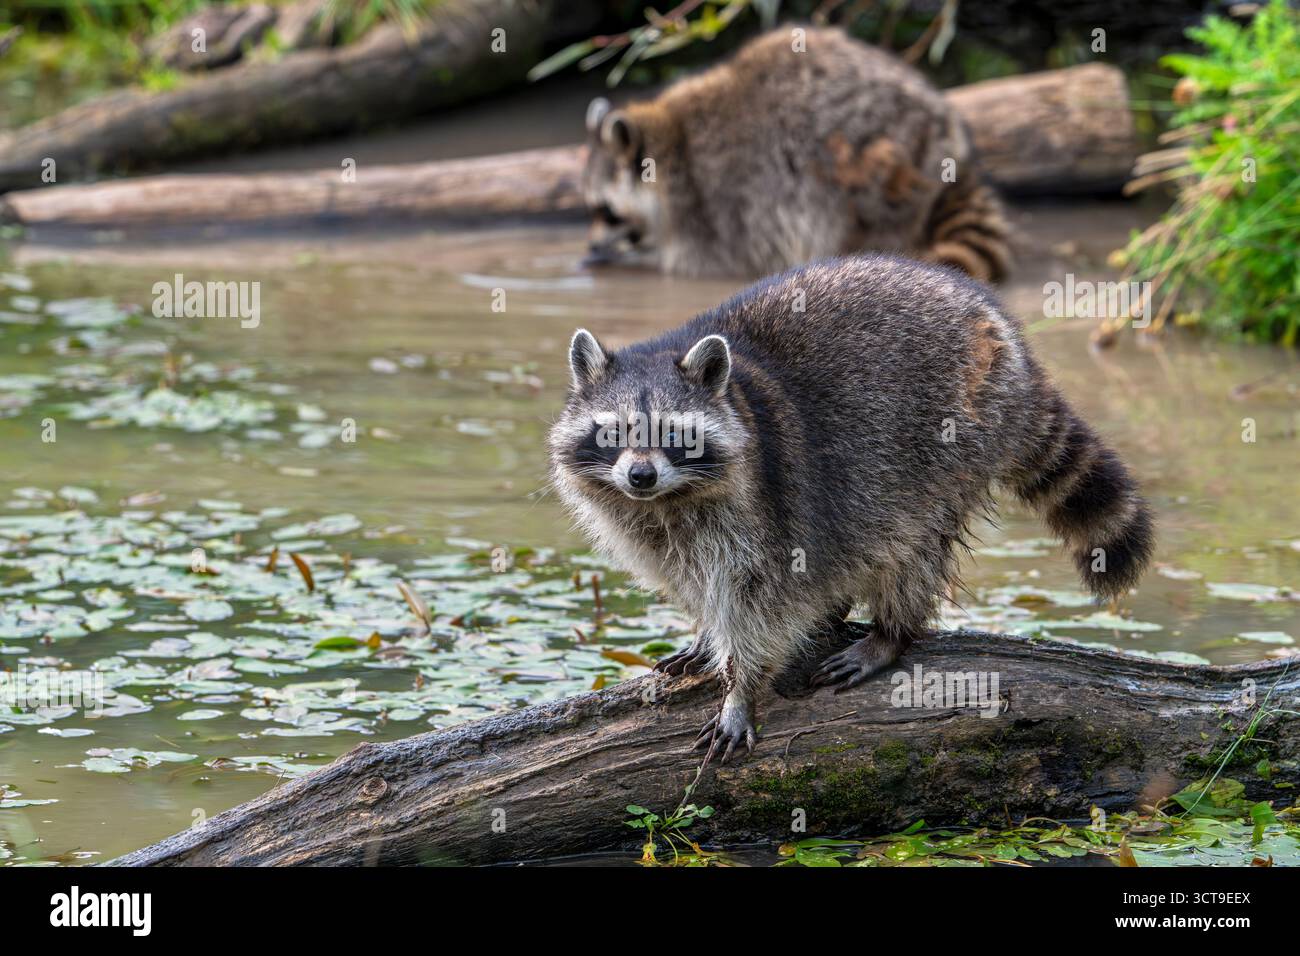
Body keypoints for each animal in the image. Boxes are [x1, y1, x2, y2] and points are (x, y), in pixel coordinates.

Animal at [548, 255, 1153, 762]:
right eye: (614, 433)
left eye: (675, 435)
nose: (640, 476)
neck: (669, 501)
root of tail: (995, 321)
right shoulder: (653, 526)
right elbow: (697, 582)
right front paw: (705, 633)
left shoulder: (765, 503)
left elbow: (760, 602)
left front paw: (741, 689)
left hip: (955, 433)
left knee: (913, 545)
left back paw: (891, 632)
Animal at [581, 26, 1011, 282]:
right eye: (593, 209)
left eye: (607, 211)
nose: (591, 246)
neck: (672, 146)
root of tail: (946, 133)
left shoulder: (718, 209)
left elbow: (703, 261)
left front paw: (643, 259)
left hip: (876, 166)